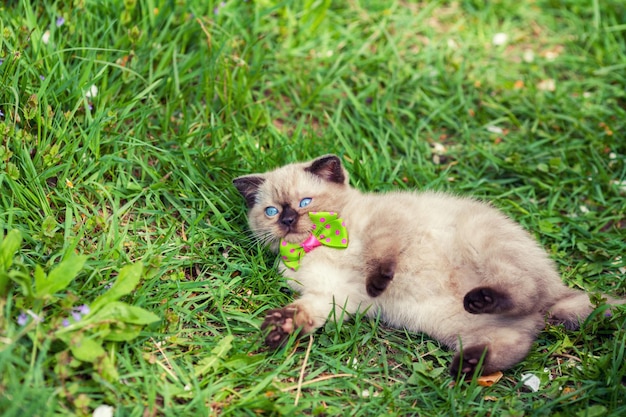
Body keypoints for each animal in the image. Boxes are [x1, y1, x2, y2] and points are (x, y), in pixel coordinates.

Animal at [233, 154, 620, 376]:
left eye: (305, 202)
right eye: (271, 211)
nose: (287, 219)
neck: (314, 247)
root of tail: (560, 291)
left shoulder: (388, 227)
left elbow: (380, 257)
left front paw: (377, 283)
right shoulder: (331, 295)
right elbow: (305, 313)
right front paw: (281, 328)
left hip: (482, 243)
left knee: (524, 290)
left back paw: (480, 302)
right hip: (457, 327)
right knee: (517, 344)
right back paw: (467, 365)